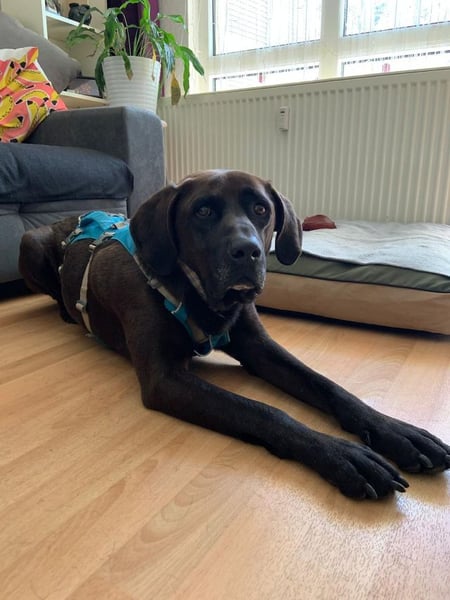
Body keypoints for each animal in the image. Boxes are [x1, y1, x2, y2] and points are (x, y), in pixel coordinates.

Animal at [19, 169, 450, 500]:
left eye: (261, 209)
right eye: (203, 211)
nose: (248, 251)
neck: (200, 294)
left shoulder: (260, 348)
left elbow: (329, 386)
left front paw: (396, 431)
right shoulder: (166, 379)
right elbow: (265, 411)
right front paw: (344, 455)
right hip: (29, 243)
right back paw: (66, 312)